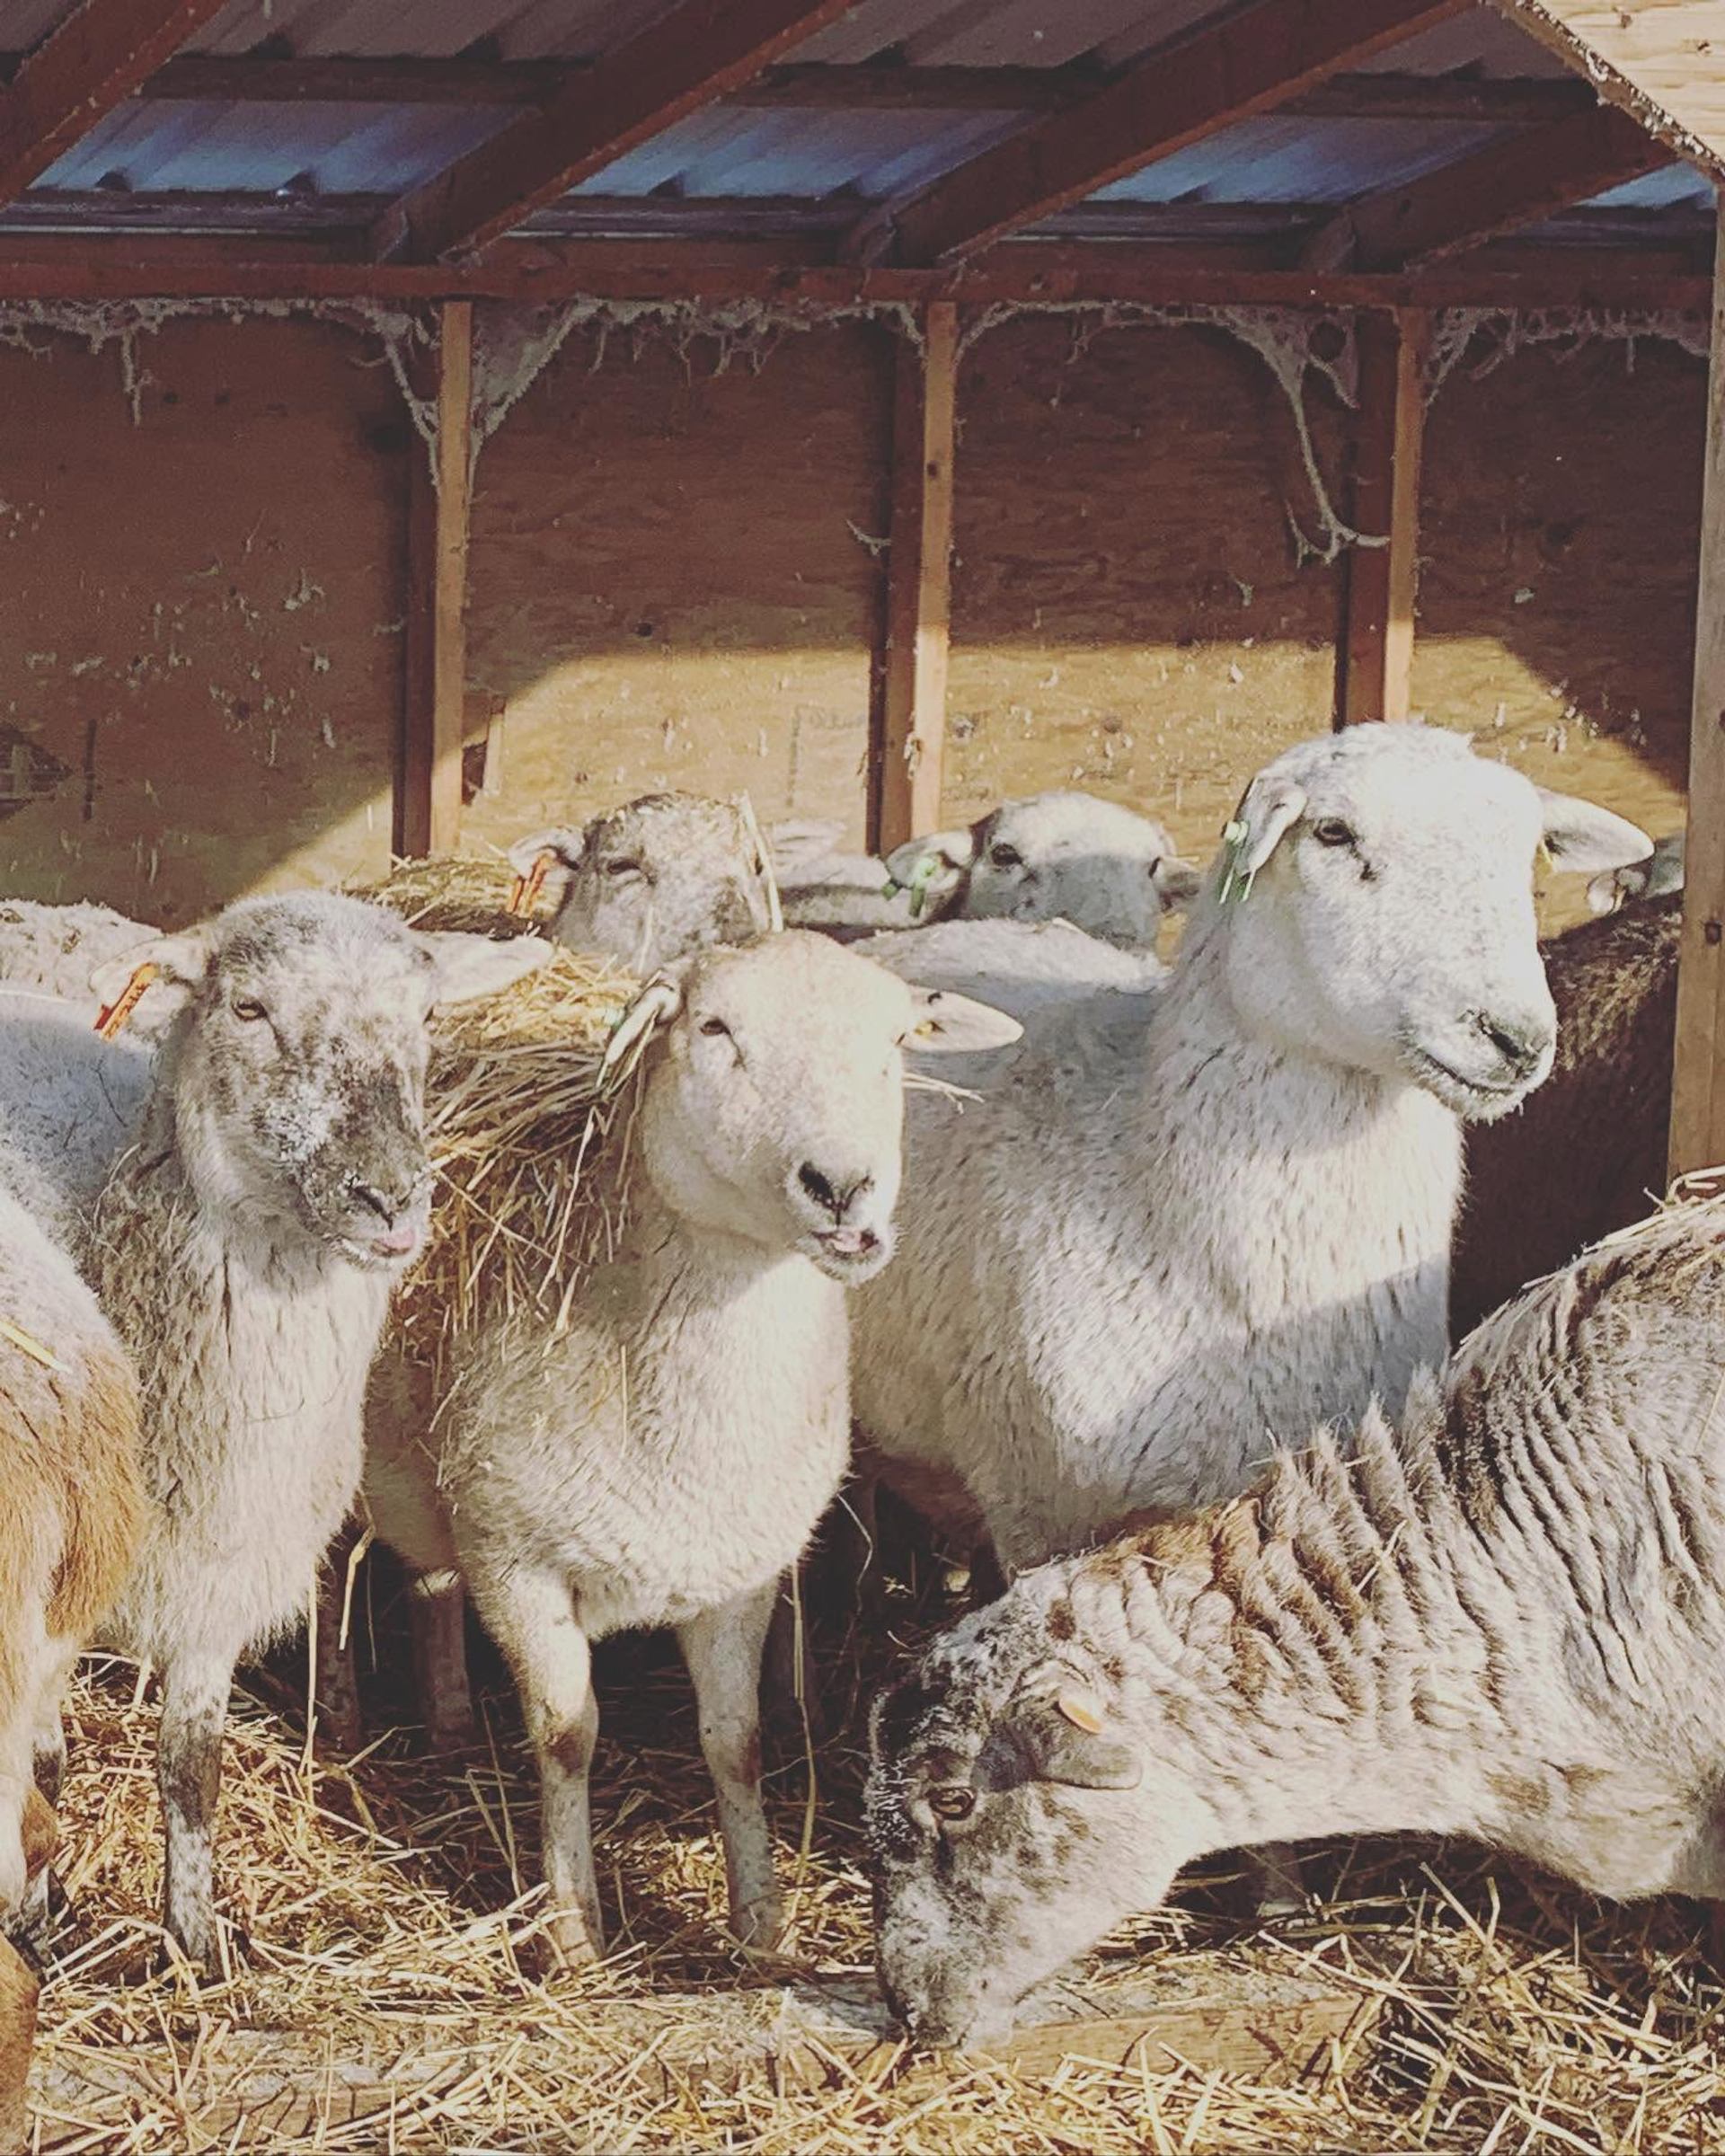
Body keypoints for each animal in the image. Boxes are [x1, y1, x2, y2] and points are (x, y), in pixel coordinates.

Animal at [0, 892, 543, 1970]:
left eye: (426, 1016)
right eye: (247, 1009)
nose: (390, 1198)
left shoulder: (223, 1566)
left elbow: (191, 1770)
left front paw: (195, 1943)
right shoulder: (56, 1594)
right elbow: (44, 1760)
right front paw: (43, 1919)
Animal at [362, 932, 1020, 1963]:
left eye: (898, 1040)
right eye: (713, 1029)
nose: (845, 1189)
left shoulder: (735, 1569)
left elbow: (735, 1740)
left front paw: (762, 1925)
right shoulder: (517, 1563)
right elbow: (566, 1737)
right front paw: (573, 1932)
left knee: (428, 1577)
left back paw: (450, 1719)